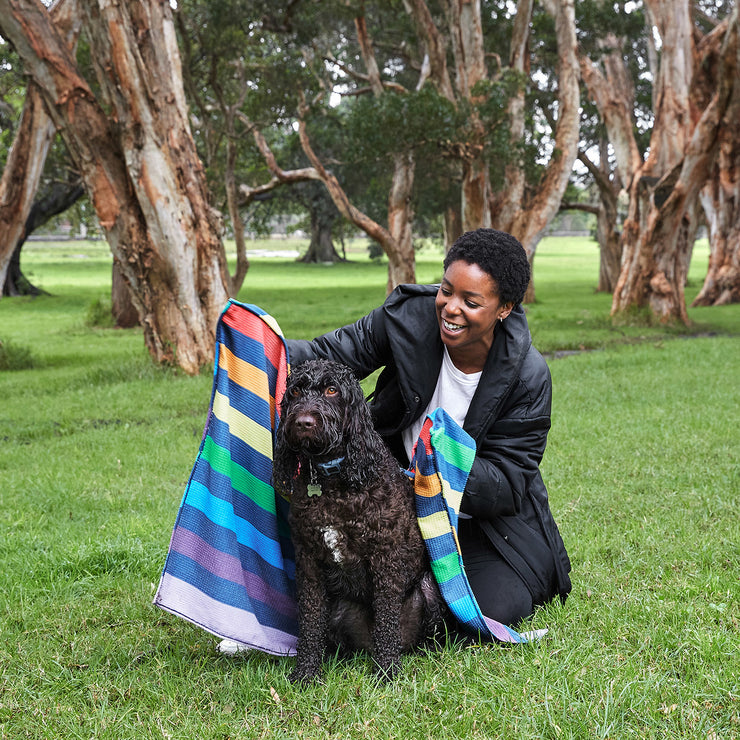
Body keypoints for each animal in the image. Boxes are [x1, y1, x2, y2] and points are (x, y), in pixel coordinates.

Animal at [274, 358, 450, 684]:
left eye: (331, 390)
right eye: (296, 391)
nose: (304, 421)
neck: (332, 478)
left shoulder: (386, 558)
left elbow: (386, 620)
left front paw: (386, 671)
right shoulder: (308, 562)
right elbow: (309, 622)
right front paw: (306, 672)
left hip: (430, 590)